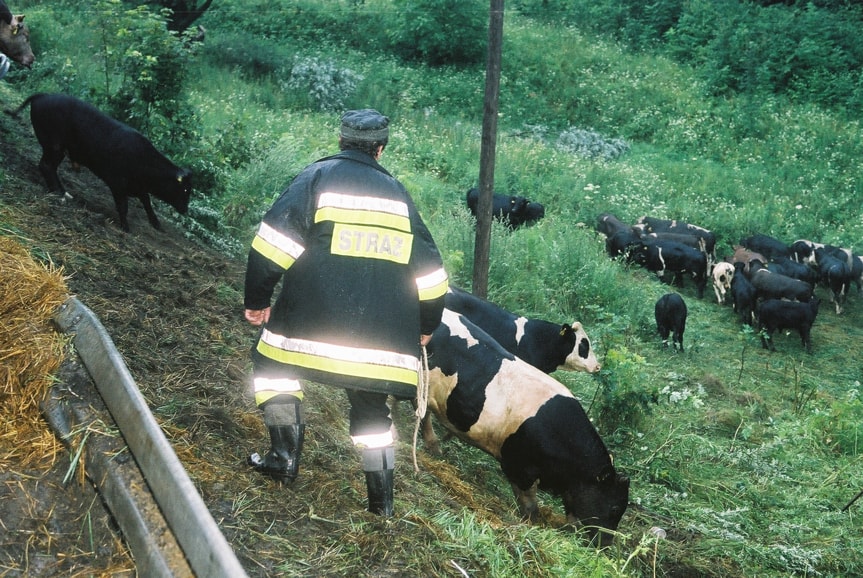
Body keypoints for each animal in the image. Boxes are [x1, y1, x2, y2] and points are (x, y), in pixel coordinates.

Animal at [12, 93, 191, 231]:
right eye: (184, 189)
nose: (185, 210)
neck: (143, 161)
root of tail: (43, 95)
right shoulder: (117, 184)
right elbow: (123, 206)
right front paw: (126, 228)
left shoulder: (138, 188)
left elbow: (147, 202)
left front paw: (158, 225)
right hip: (54, 146)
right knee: (46, 166)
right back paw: (60, 194)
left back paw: (65, 194)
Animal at [424, 308, 628, 544]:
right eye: (614, 508)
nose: (605, 545)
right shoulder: (519, 466)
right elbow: (529, 502)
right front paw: (531, 522)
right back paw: (433, 446)